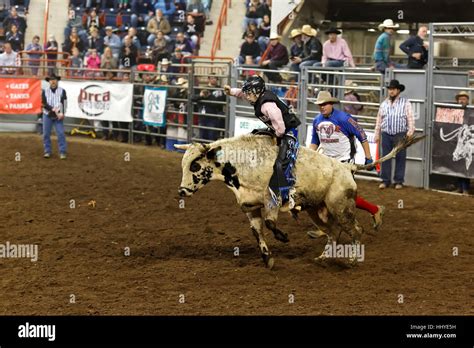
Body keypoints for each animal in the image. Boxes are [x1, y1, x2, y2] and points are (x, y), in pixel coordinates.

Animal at [176, 135, 420, 268]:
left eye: (194, 165)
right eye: (183, 165)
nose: (182, 191)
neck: (243, 164)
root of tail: (348, 167)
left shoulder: (271, 201)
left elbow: (270, 223)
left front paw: (283, 237)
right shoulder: (250, 207)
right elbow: (258, 232)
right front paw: (267, 258)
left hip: (340, 207)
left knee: (355, 230)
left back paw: (352, 260)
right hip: (315, 210)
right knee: (333, 232)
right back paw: (323, 257)